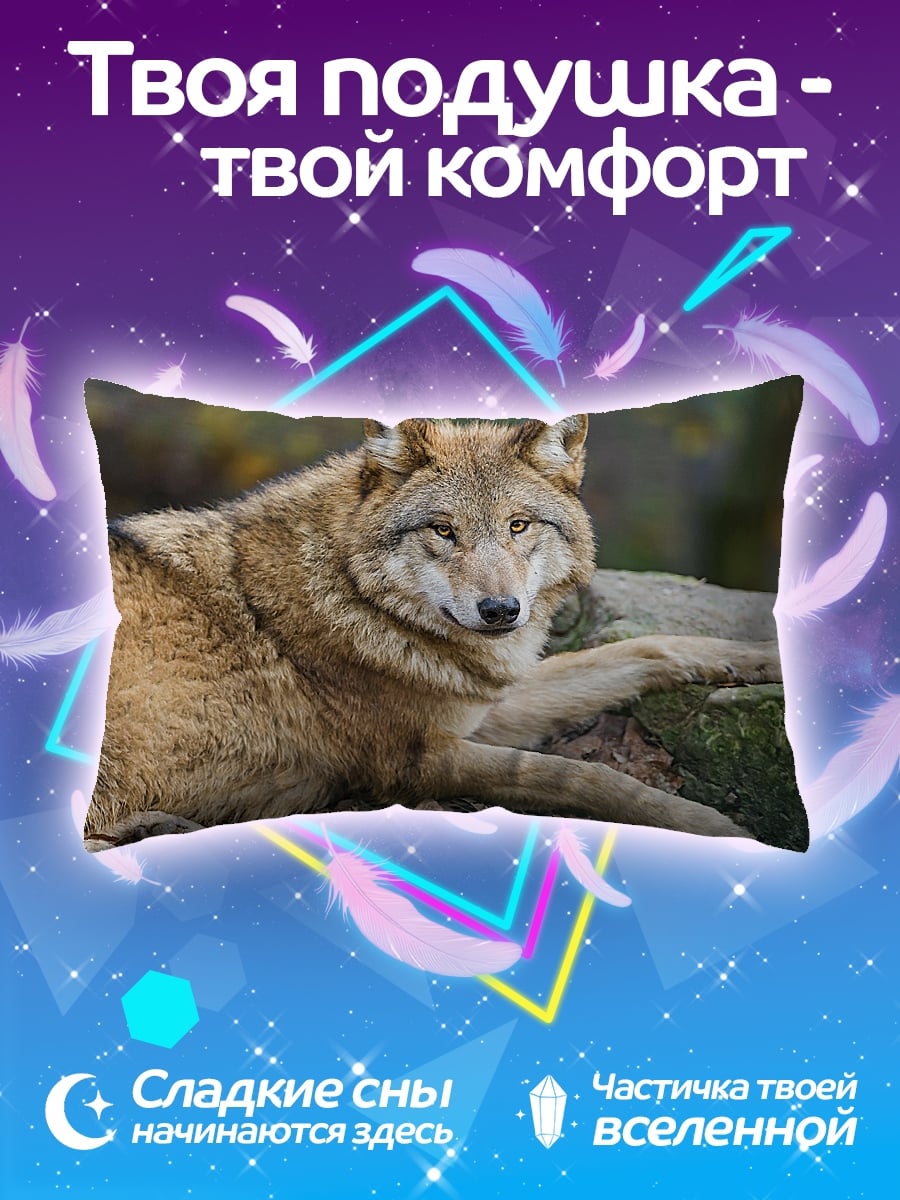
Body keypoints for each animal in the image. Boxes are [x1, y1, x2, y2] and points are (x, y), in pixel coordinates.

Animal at [84, 414, 782, 851]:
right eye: (444, 530)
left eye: (519, 525)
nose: (500, 611)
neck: (357, 597)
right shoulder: (414, 762)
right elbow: (584, 777)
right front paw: (709, 826)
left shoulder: (482, 706)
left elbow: (643, 647)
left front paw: (761, 654)